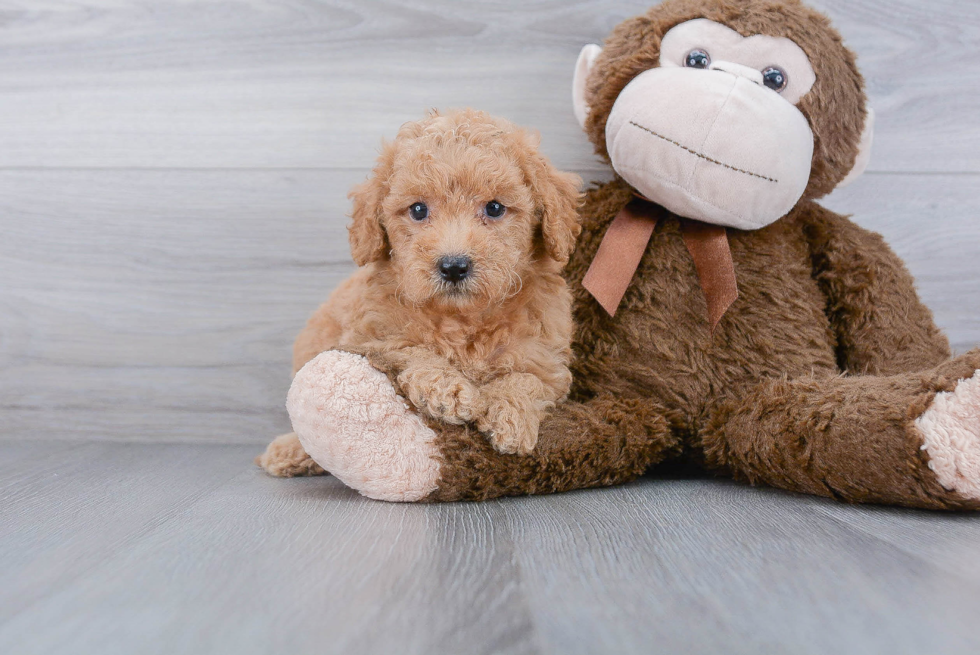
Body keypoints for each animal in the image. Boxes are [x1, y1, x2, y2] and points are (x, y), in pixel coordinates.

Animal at [260, 109, 580, 476]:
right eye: (418, 210)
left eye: (495, 208)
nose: (454, 266)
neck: (463, 320)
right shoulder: (369, 338)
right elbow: (410, 348)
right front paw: (448, 390)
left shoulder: (547, 361)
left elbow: (527, 379)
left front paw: (510, 415)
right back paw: (287, 452)